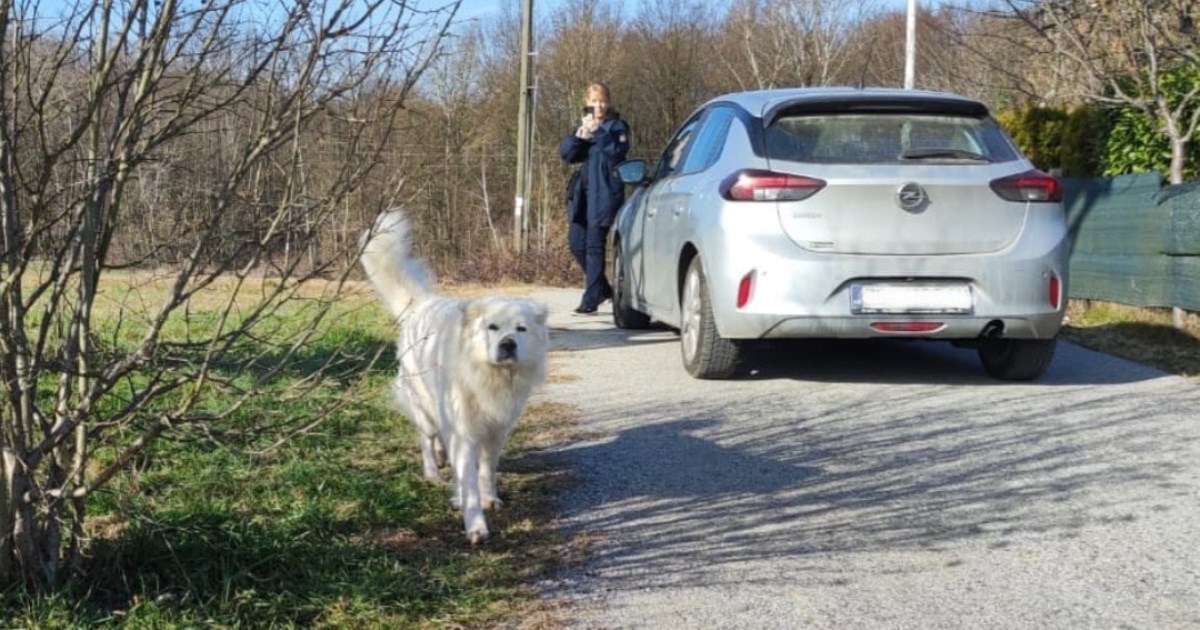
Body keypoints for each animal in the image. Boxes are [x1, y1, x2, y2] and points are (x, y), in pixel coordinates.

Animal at [355, 208, 544, 542]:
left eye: (521, 329)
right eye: (492, 327)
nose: (507, 344)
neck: (487, 375)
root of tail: (420, 305)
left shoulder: (495, 432)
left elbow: (486, 471)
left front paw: (490, 498)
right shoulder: (463, 433)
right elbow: (467, 481)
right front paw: (475, 524)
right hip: (424, 407)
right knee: (427, 439)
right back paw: (433, 471)